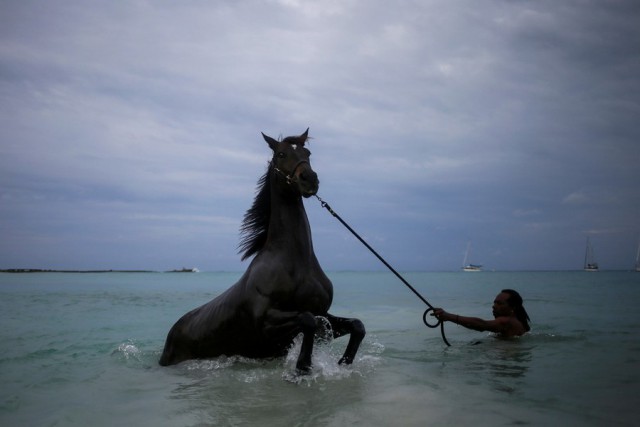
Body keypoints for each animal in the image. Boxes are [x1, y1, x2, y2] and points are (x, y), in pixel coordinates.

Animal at [159, 129, 364, 372]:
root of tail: (172, 333)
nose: (309, 179)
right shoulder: (267, 322)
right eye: (281, 154)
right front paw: (302, 367)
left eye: (308, 153)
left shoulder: (323, 313)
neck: (296, 262)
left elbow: (357, 325)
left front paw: (344, 363)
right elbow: (308, 320)